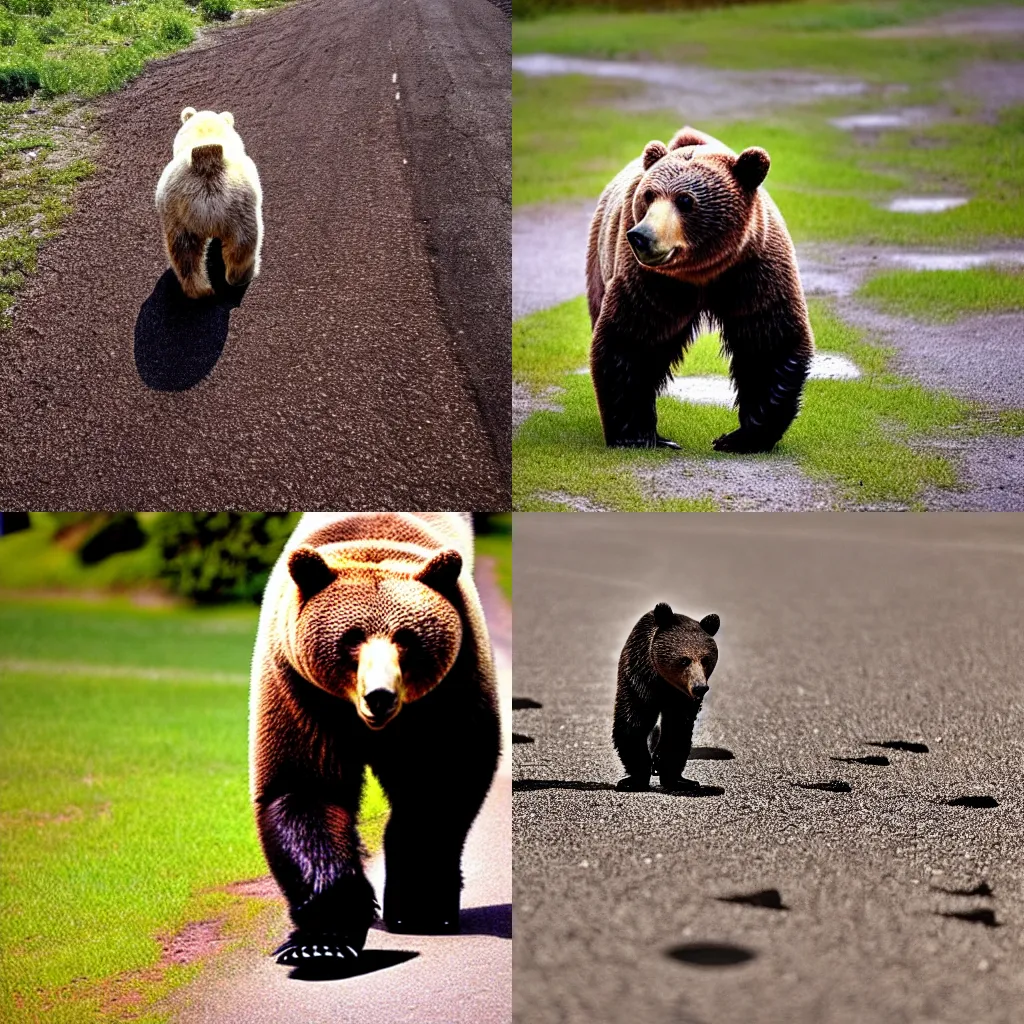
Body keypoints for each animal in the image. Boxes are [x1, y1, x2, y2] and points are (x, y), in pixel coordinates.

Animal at [153, 108, 264, 299]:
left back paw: (201, 289)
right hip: (241, 207)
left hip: (178, 216)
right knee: (245, 246)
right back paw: (242, 276)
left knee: (184, 257)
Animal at [249, 512, 501, 966]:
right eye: (350, 638)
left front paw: (420, 907)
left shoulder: (452, 690)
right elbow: (303, 789)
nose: (379, 696)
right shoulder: (298, 689)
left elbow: (439, 789)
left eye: (407, 638)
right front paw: (321, 943)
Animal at [585, 124, 815, 452]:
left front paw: (741, 438)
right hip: (600, 259)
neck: (703, 271)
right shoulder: (651, 282)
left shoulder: (752, 269)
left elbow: (767, 341)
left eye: (685, 200)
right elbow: (632, 339)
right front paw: (640, 435)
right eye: (649, 195)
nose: (641, 236)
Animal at [614, 602, 720, 794]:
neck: (665, 683)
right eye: (684, 660)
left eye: (705, 659)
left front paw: (675, 778)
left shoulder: (682, 699)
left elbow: (677, 730)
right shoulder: (639, 680)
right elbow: (634, 722)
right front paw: (635, 780)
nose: (700, 687)